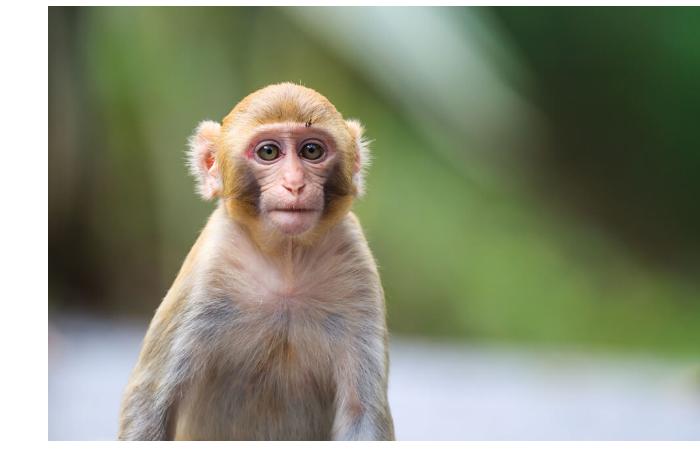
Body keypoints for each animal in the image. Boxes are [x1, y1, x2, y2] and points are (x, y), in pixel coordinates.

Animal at [118, 83, 396, 442]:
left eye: (311, 150)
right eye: (268, 152)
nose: (295, 184)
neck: (286, 262)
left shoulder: (356, 265)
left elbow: (361, 412)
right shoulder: (208, 267)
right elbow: (149, 402)